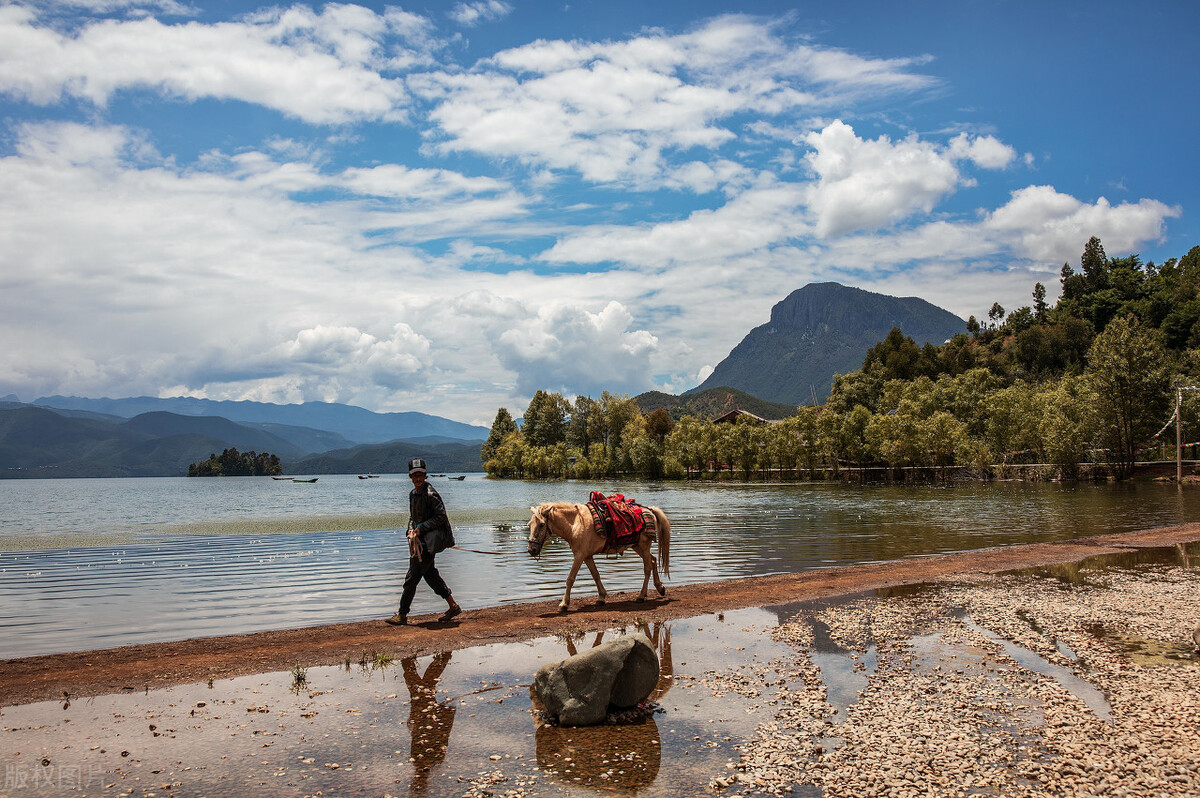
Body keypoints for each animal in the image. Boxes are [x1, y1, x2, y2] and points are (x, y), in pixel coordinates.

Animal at [530, 501, 672, 612]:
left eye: (541, 524)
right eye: (529, 524)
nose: (531, 549)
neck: (575, 523)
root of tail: (650, 510)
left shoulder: (579, 556)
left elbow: (570, 579)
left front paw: (564, 604)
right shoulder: (587, 556)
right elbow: (596, 575)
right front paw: (601, 597)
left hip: (643, 546)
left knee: (647, 568)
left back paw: (641, 596)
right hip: (638, 546)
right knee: (653, 560)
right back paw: (660, 588)